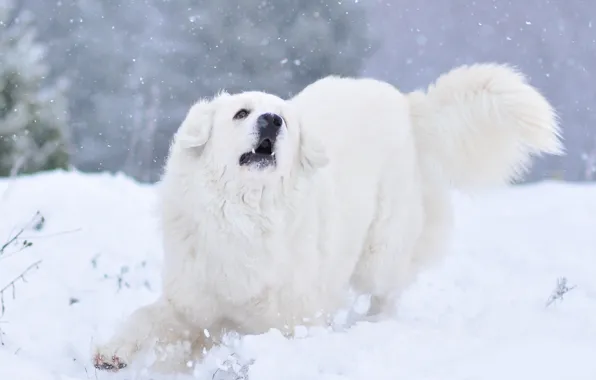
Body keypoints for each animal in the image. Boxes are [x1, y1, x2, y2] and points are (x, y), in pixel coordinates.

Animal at [93, 63, 564, 372]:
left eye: (285, 120)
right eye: (241, 113)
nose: (272, 120)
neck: (246, 215)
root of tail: (407, 104)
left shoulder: (290, 320)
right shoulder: (192, 304)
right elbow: (146, 317)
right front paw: (112, 351)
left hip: (380, 251)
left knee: (389, 292)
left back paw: (371, 324)